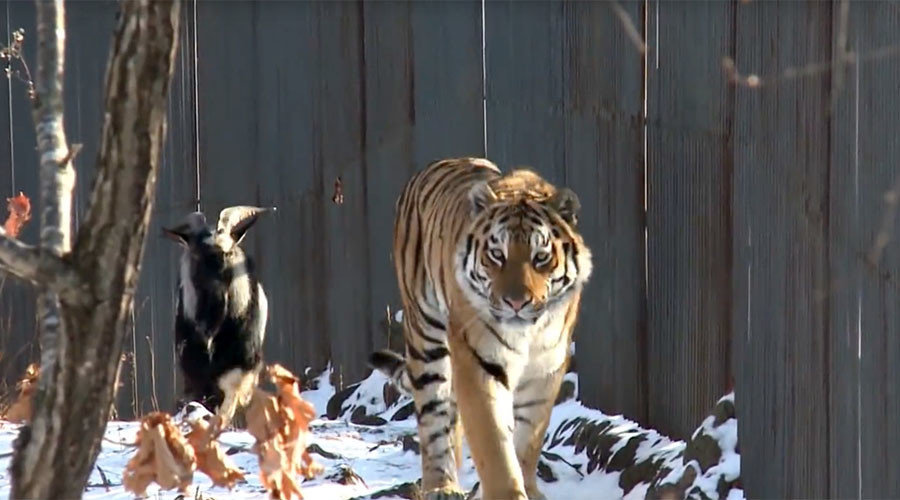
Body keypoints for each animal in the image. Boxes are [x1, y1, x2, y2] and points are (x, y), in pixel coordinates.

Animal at [163, 205, 273, 426]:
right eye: (196, 255)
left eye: (227, 253)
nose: (216, 299)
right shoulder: (194, 370)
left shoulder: (238, 369)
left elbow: (226, 405)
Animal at [370, 157, 592, 500]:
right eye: (497, 255)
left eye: (540, 257)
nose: (516, 302)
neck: (529, 334)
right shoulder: (479, 362)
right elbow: (494, 445)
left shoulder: (546, 370)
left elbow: (528, 440)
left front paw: (528, 487)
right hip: (426, 336)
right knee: (434, 420)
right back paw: (442, 486)